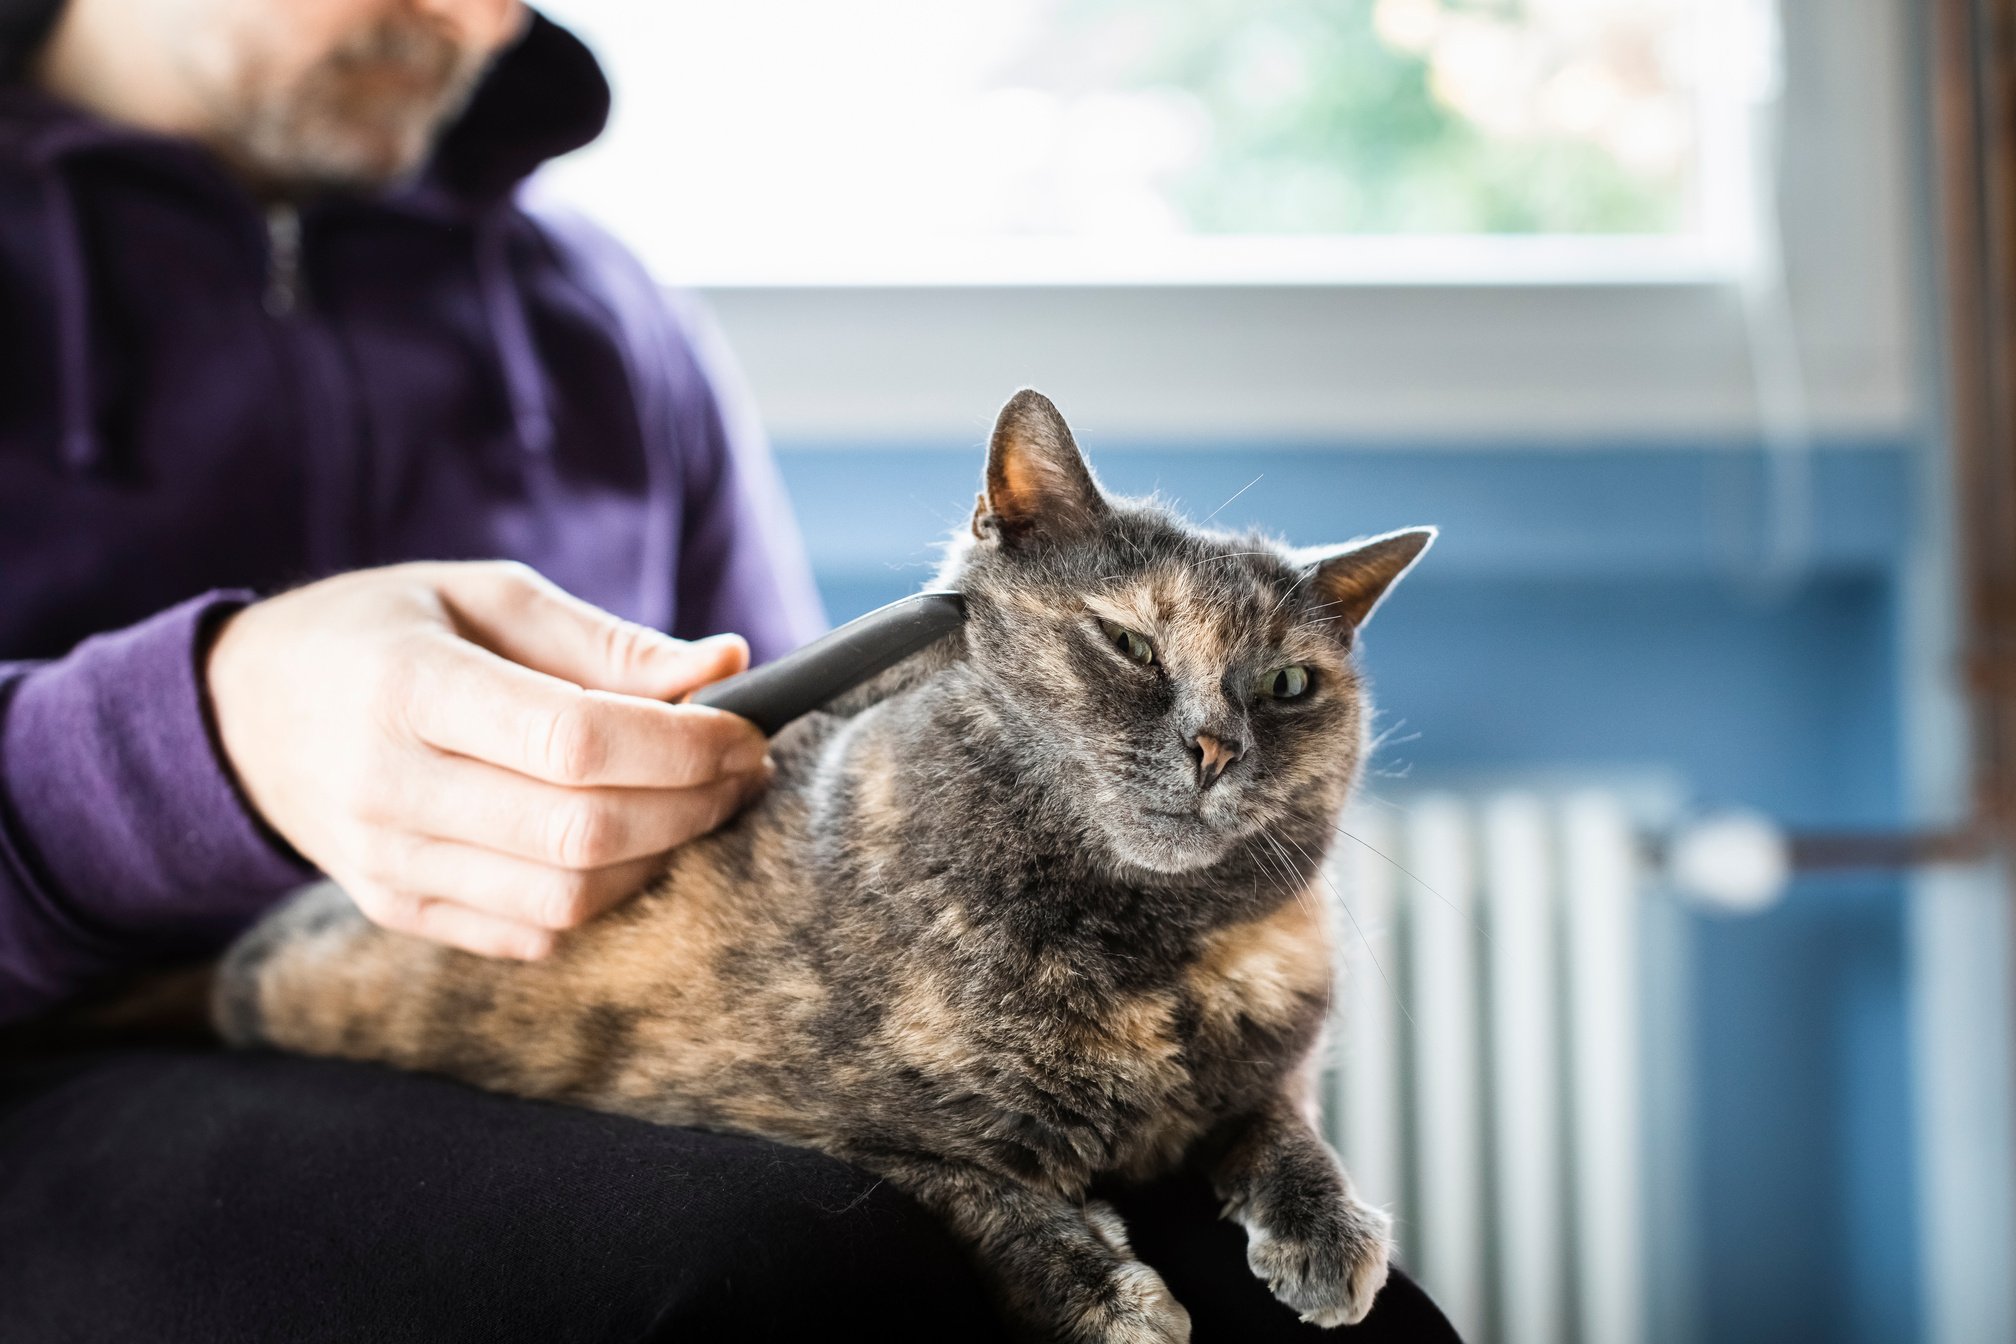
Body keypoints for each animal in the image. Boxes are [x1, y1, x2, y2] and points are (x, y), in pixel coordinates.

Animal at [220, 390, 1435, 1344]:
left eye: (1288, 685)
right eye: (1129, 643)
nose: (1216, 745)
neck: (1150, 957)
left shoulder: (1269, 1061)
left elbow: (1281, 1116)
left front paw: (1331, 1237)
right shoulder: (820, 1126)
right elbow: (978, 1191)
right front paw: (1111, 1296)